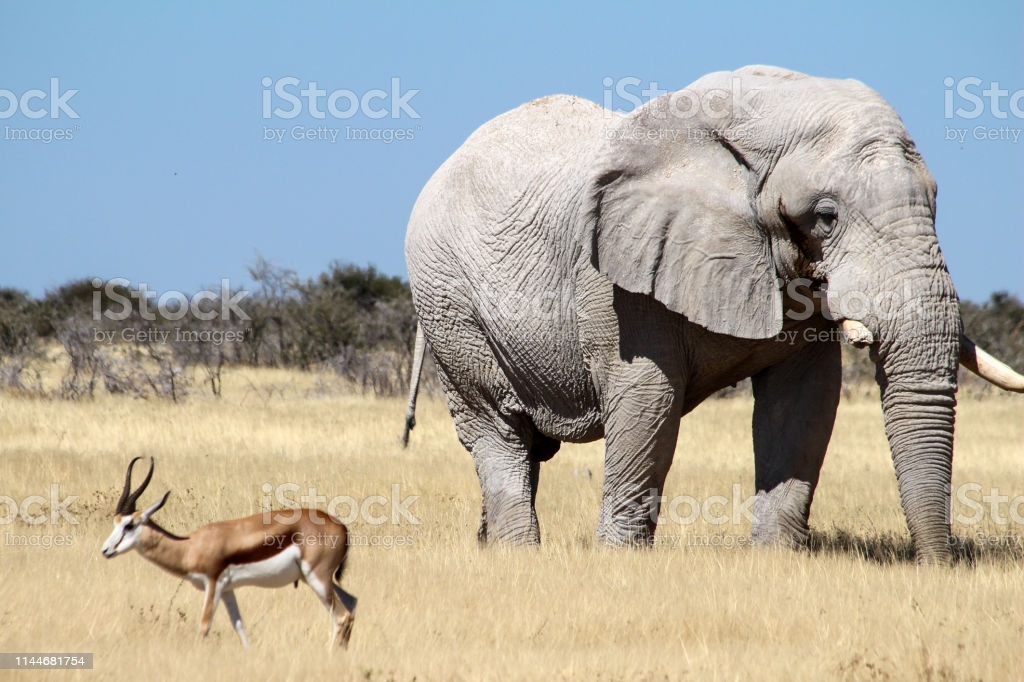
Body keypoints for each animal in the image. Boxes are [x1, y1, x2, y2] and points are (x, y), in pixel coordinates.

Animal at [401, 66, 1024, 561]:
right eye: (825, 216)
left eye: (936, 202)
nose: (937, 564)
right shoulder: (615, 278)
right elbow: (648, 401)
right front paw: (618, 563)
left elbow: (803, 404)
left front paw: (776, 561)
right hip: (449, 307)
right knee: (498, 433)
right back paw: (519, 557)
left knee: (527, 448)